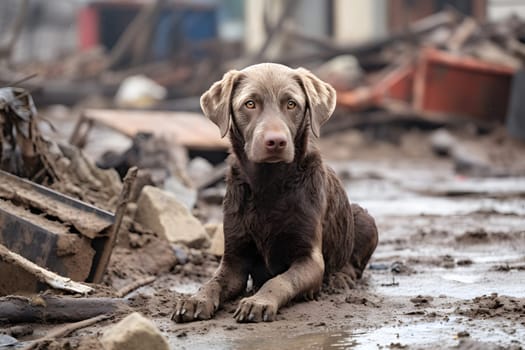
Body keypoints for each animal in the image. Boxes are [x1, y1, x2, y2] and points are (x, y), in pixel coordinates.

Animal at [172, 63, 376, 322]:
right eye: (250, 104)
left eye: (291, 104)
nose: (276, 142)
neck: (268, 184)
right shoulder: (233, 260)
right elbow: (213, 282)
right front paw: (196, 299)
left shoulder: (310, 259)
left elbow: (280, 281)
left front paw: (258, 302)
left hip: (363, 217)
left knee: (354, 265)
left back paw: (341, 278)